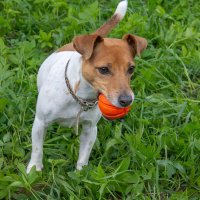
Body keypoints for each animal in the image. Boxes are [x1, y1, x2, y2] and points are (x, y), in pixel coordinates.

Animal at [27, 0, 147, 172]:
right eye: (103, 69)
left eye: (131, 69)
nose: (126, 100)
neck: (80, 97)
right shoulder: (40, 123)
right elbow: (37, 150)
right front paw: (33, 170)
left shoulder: (90, 129)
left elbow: (84, 156)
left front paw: (81, 174)